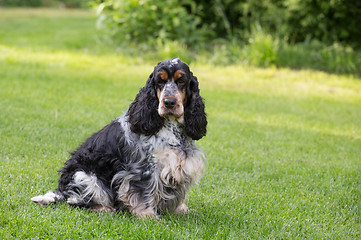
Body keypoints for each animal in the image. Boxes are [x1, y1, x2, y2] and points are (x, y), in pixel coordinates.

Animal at [32, 57, 207, 218]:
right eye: (160, 81)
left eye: (181, 81)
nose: (169, 102)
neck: (171, 127)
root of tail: (61, 191)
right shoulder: (143, 168)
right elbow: (144, 192)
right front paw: (148, 216)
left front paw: (181, 210)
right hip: (85, 177)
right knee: (75, 201)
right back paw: (104, 209)